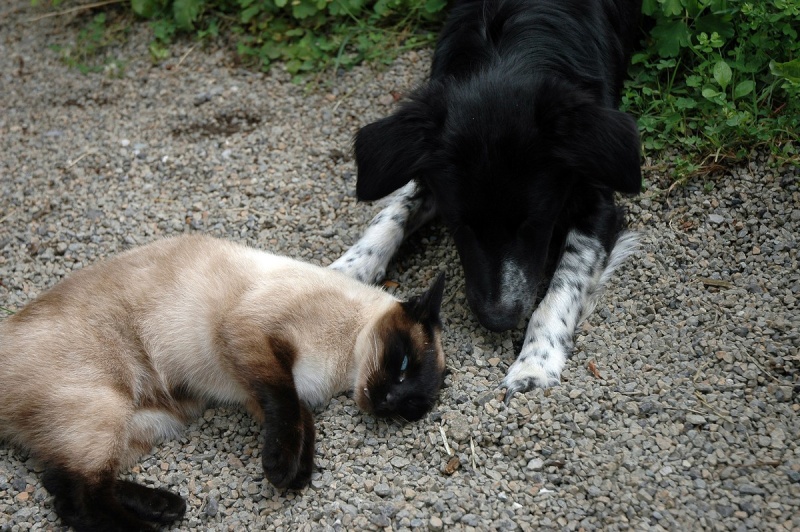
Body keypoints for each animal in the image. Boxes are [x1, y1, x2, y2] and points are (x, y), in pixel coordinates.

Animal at [0, 236, 446, 532]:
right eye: (402, 363)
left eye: (410, 408)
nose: (388, 400)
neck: (344, 365)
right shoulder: (252, 341)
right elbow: (289, 409)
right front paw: (283, 469)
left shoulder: (259, 386)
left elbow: (301, 419)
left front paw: (298, 474)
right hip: (106, 409)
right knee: (80, 499)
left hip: (151, 423)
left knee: (62, 483)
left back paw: (166, 507)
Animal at [332, 0, 644, 400]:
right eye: (459, 225)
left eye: (535, 223)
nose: (497, 320)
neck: (504, 59)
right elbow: (390, 215)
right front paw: (344, 271)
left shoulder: (597, 198)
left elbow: (564, 284)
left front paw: (535, 362)